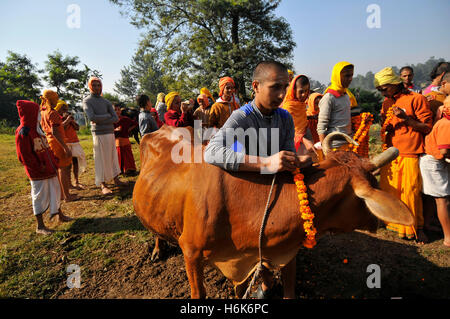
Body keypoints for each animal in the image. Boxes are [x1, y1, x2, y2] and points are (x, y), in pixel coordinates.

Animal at [132, 125, 414, 300]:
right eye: (374, 183)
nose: (376, 222)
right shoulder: (191, 252)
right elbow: (198, 293)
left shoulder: (283, 249)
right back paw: (157, 250)